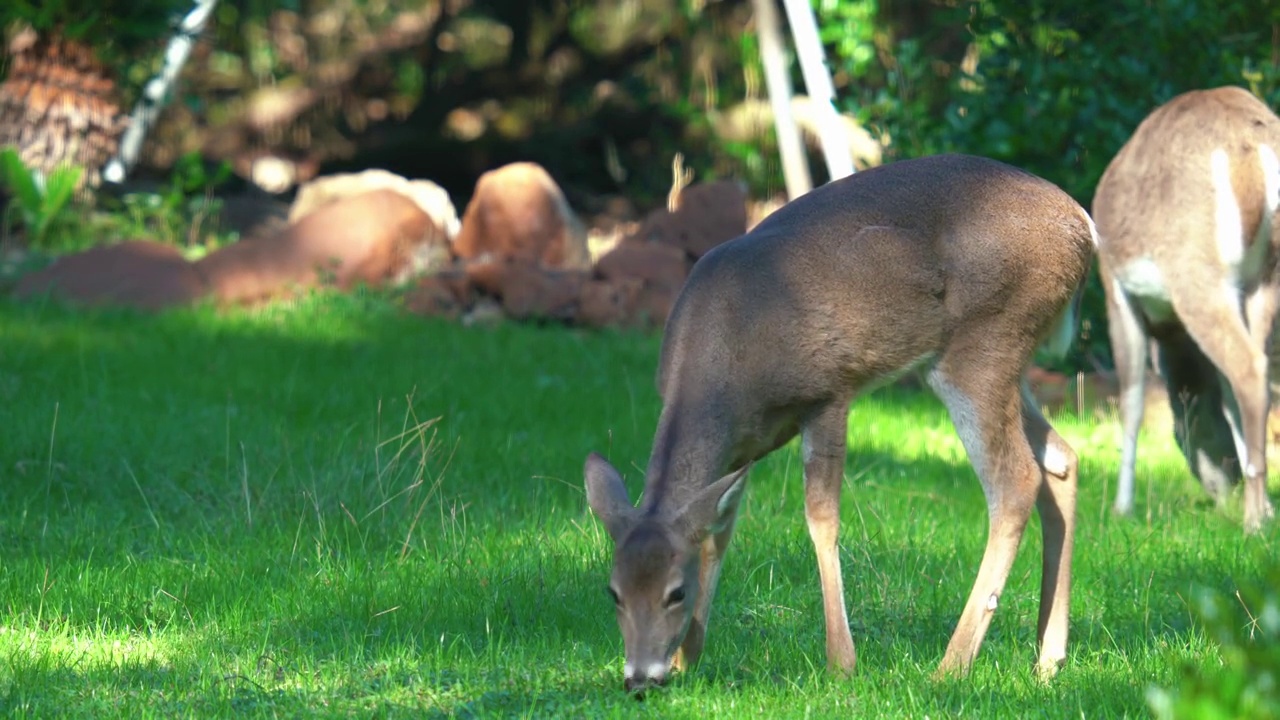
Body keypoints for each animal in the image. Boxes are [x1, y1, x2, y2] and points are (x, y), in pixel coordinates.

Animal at [586, 152, 1095, 691]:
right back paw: (1048, 659)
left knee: (1015, 479)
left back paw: (951, 666)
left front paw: (841, 662)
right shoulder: (743, 446)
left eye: (674, 593)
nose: (641, 677)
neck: (725, 361)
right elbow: (719, 532)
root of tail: (1083, 225)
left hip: (983, 342)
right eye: (613, 591)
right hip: (1006, 361)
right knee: (1061, 458)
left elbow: (821, 516)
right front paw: (689, 657)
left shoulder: (828, 393)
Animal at [1090, 87, 1280, 530]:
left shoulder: (1113, 286)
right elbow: (1226, 394)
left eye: (1183, 421)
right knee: (1257, 372)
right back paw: (1261, 509)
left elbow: (1131, 399)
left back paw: (1252, 521)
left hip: (1198, 271)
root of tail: (1253, 149)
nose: (1225, 480)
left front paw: (1121, 508)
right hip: (1263, 279)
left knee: (1249, 369)